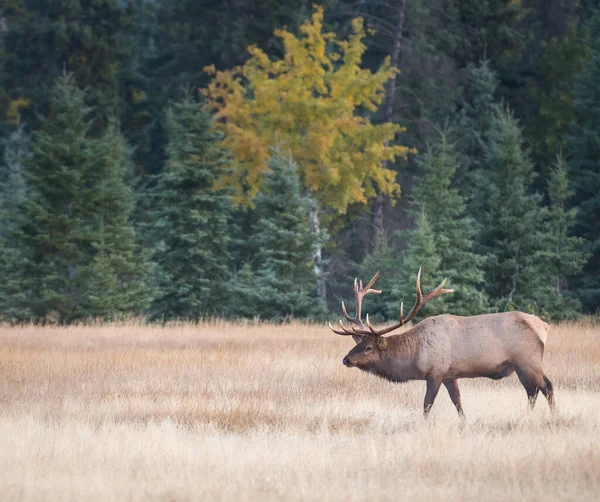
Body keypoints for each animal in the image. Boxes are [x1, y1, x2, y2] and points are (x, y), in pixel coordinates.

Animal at [330, 268, 556, 418]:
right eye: (358, 343)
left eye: (368, 347)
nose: (346, 359)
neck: (415, 355)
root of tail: (544, 326)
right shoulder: (450, 375)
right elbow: (458, 403)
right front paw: (464, 424)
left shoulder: (435, 372)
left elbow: (427, 405)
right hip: (520, 366)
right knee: (532, 392)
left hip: (528, 361)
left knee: (546, 387)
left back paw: (554, 417)